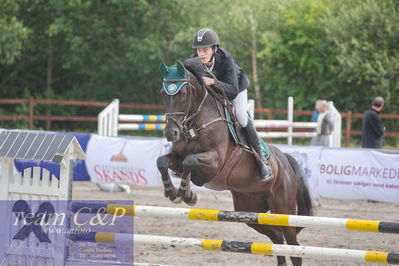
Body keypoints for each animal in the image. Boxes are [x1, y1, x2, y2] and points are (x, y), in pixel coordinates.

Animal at [158, 60, 314, 266]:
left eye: (183, 93)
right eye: (163, 93)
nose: (171, 133)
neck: (195, 123)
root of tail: (285, 160)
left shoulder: (214, 162)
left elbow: (189, 162)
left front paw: (187, 194)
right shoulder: (177, 157)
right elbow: (163, 161)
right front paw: (173, 192)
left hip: (282, 208)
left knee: (294, 247)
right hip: (249, 209)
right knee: (277, 237)